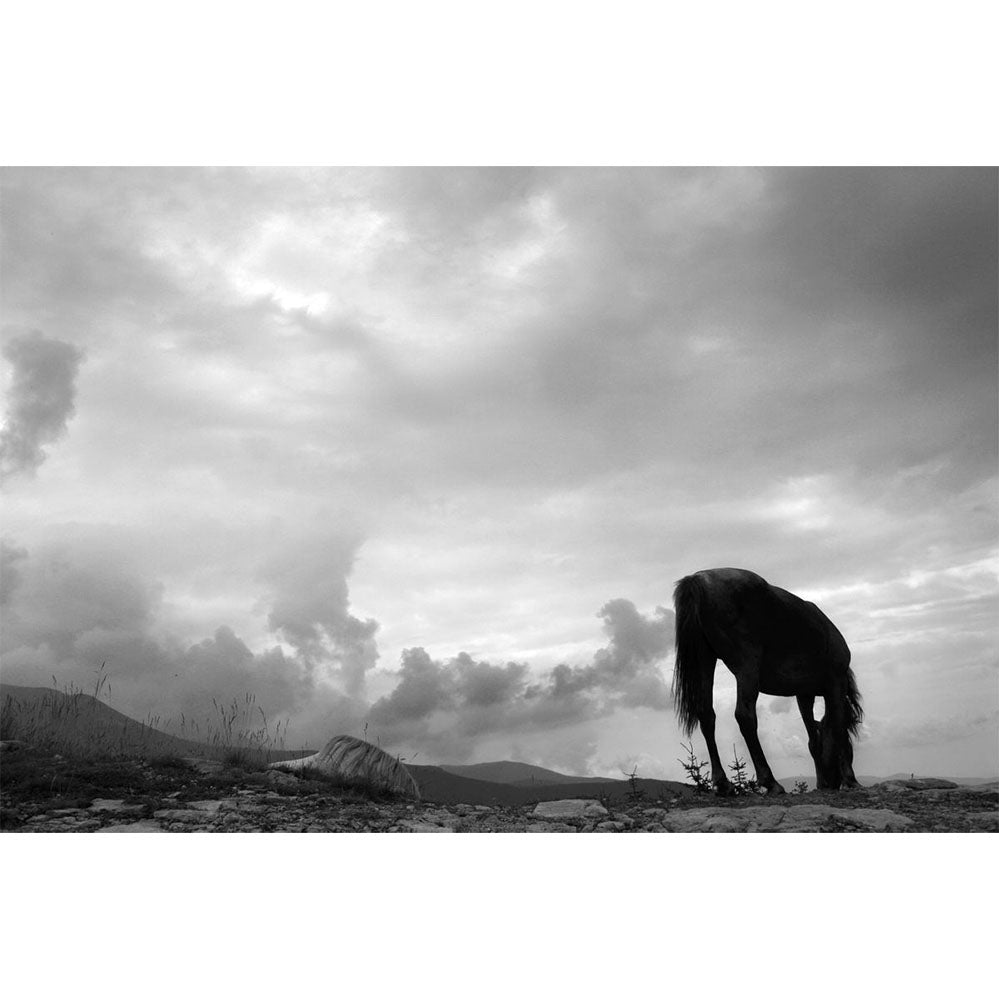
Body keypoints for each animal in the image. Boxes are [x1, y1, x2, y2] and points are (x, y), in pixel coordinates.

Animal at [671, 567, 862, 795]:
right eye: (852, 745)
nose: (833, 782)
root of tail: (698, 579)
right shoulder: (836, 683)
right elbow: (839, 728)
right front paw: (850, 779)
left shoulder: (804, 694)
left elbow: (813, 741)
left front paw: (822, 783)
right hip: (747, 667)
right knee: (745, 716)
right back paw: (770, 781)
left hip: (705, 660)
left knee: (707, 715)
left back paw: (723, 783)